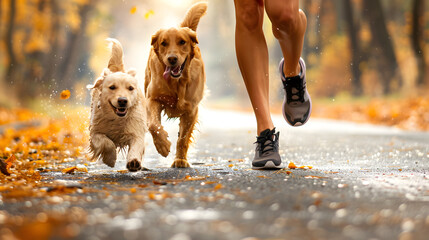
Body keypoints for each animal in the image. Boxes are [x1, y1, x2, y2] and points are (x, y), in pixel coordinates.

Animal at [88, 38, 146, 172]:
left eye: (130, 88)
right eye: (112, 87)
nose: (123, 100)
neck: (117, 119)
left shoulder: (136, 131)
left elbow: (136, 146)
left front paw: (134, 162)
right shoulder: (95, 132)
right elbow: (106, 142)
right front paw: (110, 159)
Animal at [144, 2, 207, 167]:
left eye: (182, 42)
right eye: (163, 43)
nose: (172, 59)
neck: (176, 83)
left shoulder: (191, 109)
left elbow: (183, 139)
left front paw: (180, 160)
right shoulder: (152, 99)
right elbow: (153, 125)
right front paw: (162, 145)